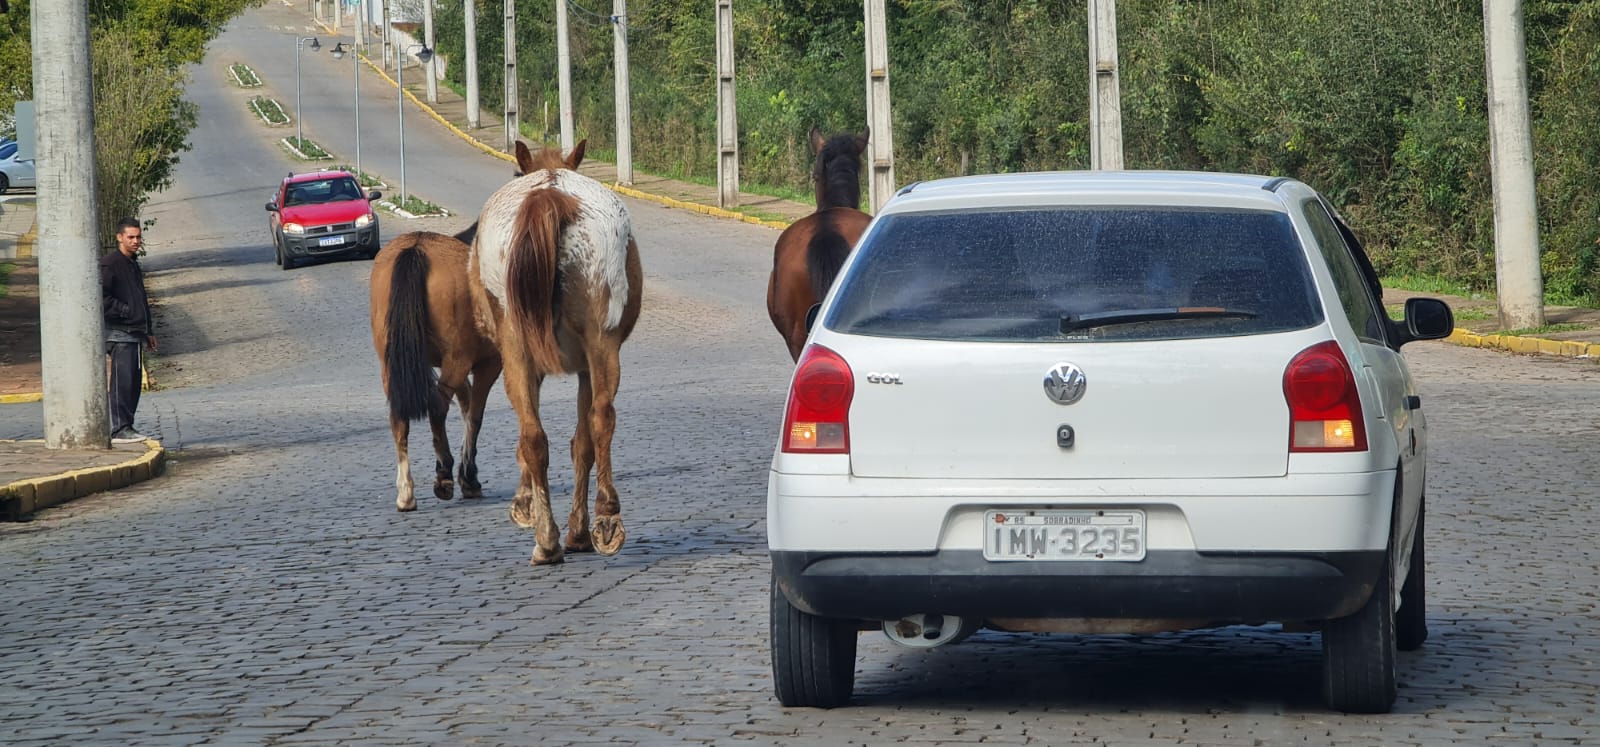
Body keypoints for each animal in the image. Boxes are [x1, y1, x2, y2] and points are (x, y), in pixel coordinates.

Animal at [467, 139, 643, 566]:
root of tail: (550, 194)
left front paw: (529, 504)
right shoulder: (580, 366)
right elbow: (580, 442)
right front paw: (569, 526)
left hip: (523, 344)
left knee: (548, 432)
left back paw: (559, 535)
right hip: (599, 343)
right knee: (590, 421)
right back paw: (596, 522)